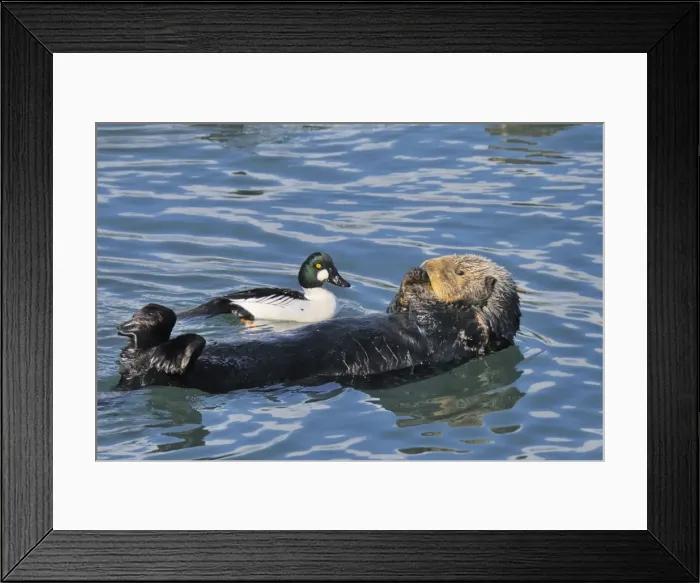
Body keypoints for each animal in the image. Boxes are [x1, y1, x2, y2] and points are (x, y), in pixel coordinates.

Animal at [115, 255, 521, 394]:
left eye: (461, 271)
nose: (428, 265)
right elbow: (398, 308)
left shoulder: (458, 331)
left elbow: (436, 318)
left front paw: (416, 280)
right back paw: (142, 321)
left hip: (201, 375)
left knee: (169, 364)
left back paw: (174, 345)